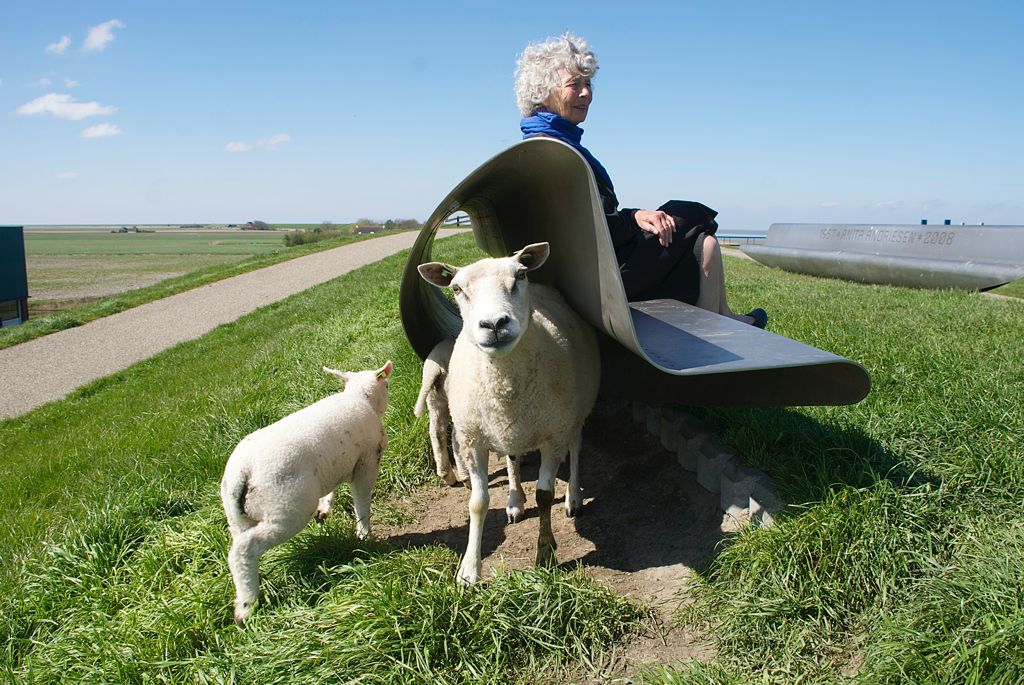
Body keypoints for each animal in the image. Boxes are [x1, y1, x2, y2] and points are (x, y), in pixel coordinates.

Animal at [220, 360, 393, 624]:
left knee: (236, 552)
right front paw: (365, 535)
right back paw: (247, 607)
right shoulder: (367, 460)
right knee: (246, 548)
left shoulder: (337, 462)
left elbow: (332, 486)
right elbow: (362, 500)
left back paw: (246, 592)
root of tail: (242, 473)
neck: (358, 397)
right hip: (287, 506)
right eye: (386, 385)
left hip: (237, 518)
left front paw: (325, 508)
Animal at [418, 242, 600, 585]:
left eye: (520, 276)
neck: (504, 382)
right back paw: (515, 500)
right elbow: (477, 503)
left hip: (574, 414)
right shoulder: (473, 439)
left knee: (576, 448)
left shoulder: (553, 435)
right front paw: (469, 570)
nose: (494, 324)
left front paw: (545, 553)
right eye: (457, 288)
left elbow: (545, 496)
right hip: (509, 428)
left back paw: (573, 498)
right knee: (513, 458)